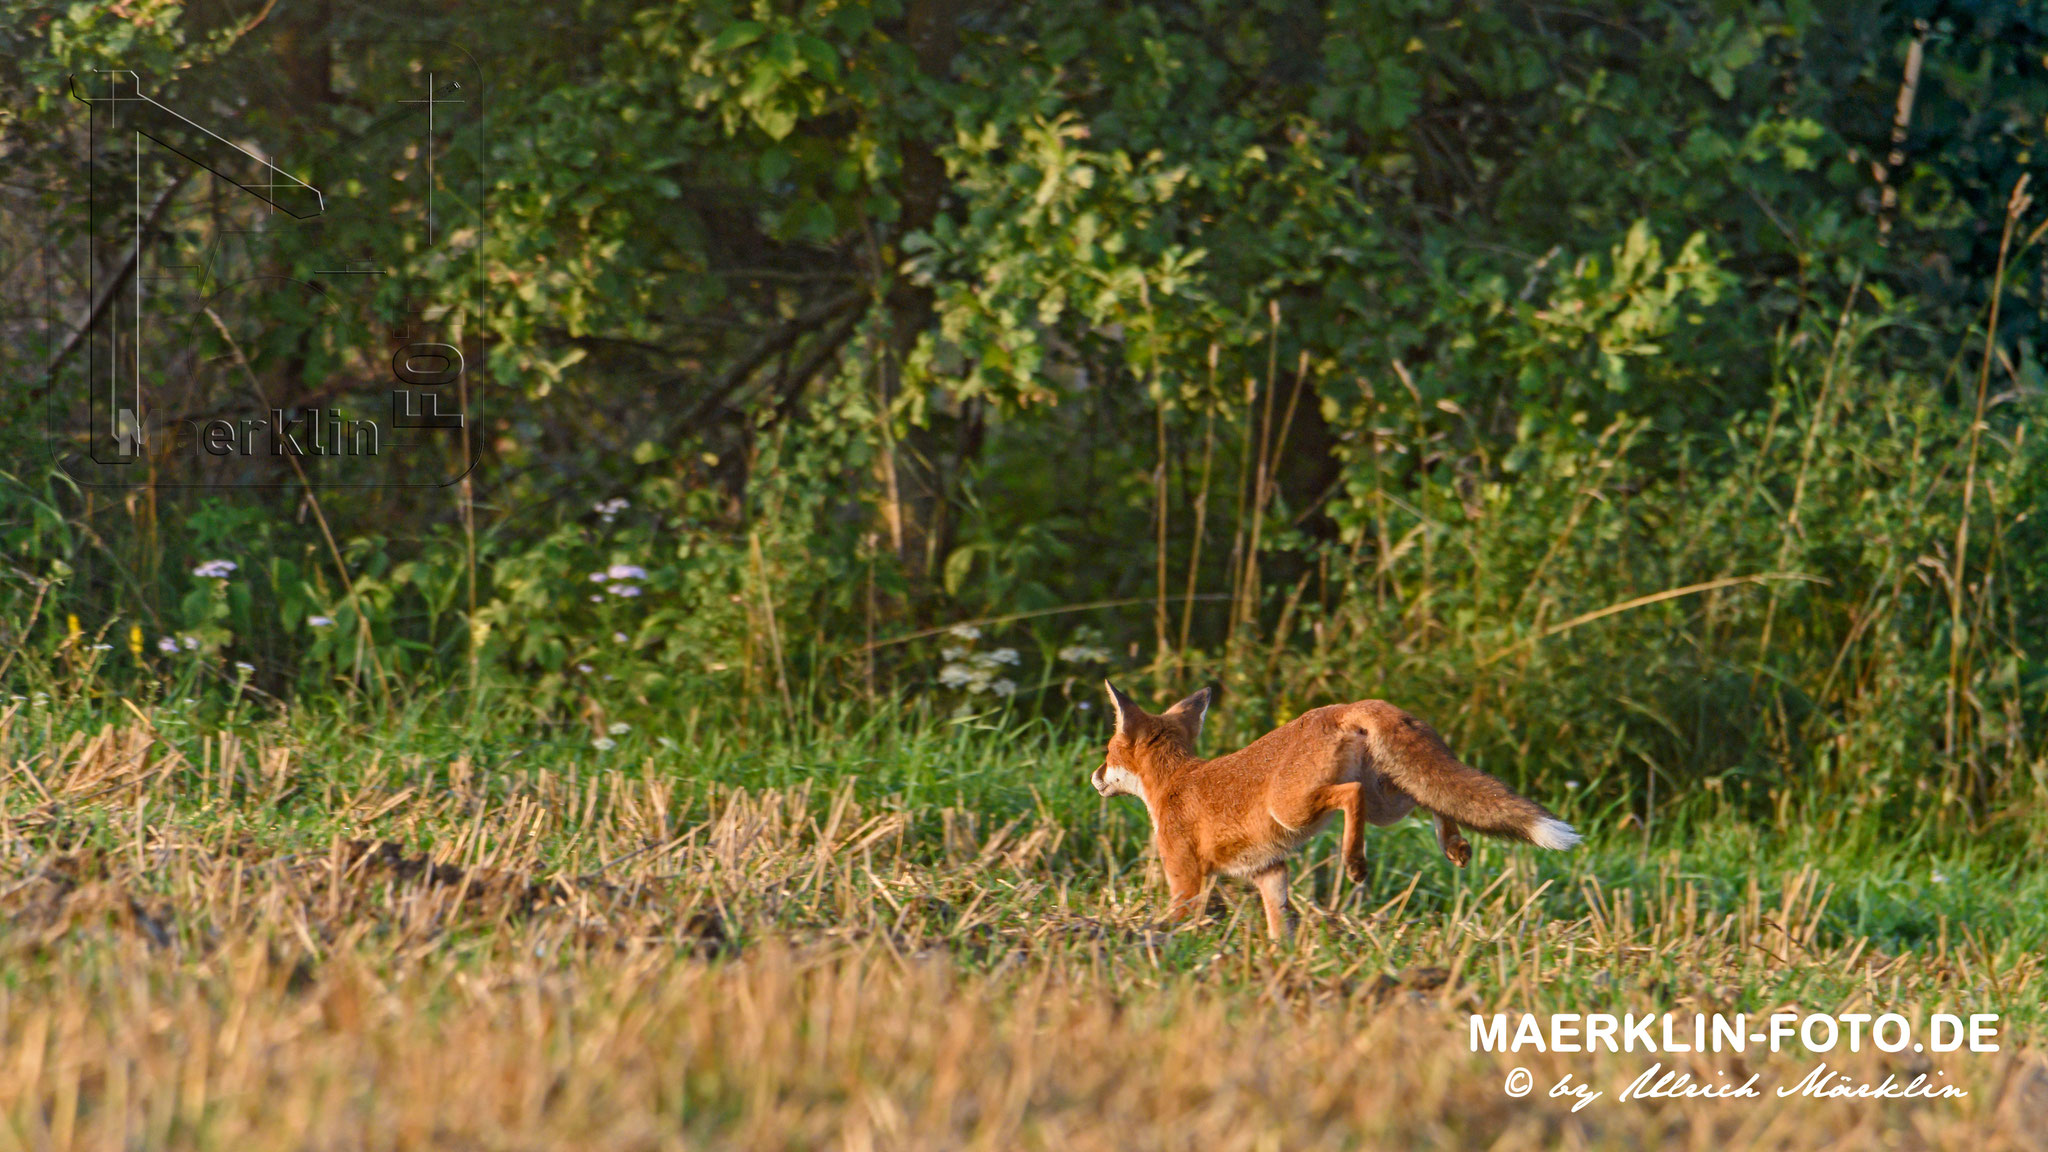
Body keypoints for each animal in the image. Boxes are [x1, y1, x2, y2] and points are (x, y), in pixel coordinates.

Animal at [1097, 680, 1572, 934]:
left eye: (1107, 752)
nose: (1094, 777)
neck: (1175, 782)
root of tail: (1347, 705)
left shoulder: (1186, 878)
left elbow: (1179, 916)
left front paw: (1156, 938)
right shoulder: (1268, 871)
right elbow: (1279, 924)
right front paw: (1280, 963)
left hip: (1294, 808)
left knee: (1351, 796)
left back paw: (1355, 862)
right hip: (1389, 802)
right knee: (1433, 797)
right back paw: (1453, 844)